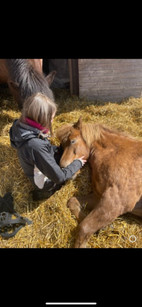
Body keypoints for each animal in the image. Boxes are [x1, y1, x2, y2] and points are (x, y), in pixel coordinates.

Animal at [56, 117, 142, 248]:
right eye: (62, 145)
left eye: (72, 141)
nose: (62, 168)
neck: (115, 153)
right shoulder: (99, 197)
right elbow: (73, 203)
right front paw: (104, 228)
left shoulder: (117, 202)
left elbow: (84, 228)